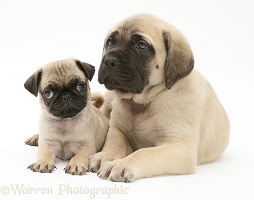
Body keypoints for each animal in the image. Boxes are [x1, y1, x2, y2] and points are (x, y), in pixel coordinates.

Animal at [89, 13, 230, 183]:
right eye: (110, 42)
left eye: (141, 45)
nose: (109, 61)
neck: (145, 101)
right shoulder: (117, 130)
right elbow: (114, 144)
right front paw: (105, 156)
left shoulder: (179, 147)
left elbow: (144, 152)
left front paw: (122, 164)